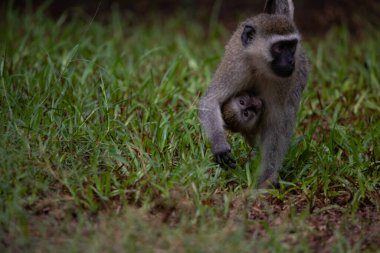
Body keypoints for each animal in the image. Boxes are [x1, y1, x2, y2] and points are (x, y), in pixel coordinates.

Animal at [199, 0, 308, 186]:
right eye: (280, 47)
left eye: (292, 46)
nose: (290, 61)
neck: (259, 64)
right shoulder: (237, 65)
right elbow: (211, 99)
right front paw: (219, 145)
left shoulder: (283, 80)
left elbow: (276, 124)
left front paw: (266, 178)